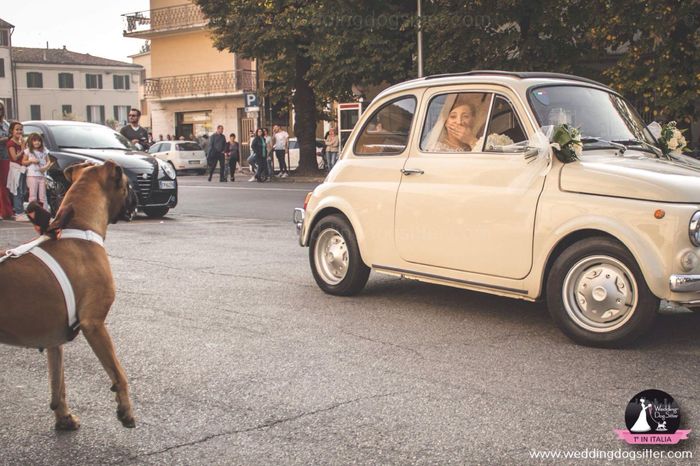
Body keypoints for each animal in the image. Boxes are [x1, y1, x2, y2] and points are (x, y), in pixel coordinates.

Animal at [0, 161, 138, 430]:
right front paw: (125, 409)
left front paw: (63, 415)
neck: (79, 226)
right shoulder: (94, 325)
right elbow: (119, 372)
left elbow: (58, 382)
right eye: (127, 184)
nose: (136, 194)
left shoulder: (54, 339)